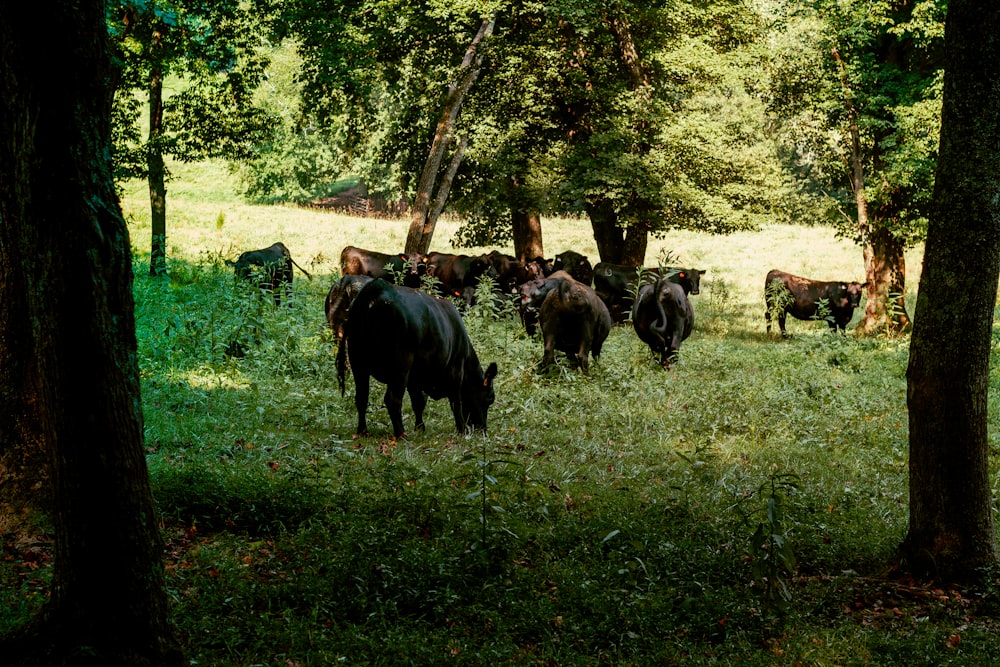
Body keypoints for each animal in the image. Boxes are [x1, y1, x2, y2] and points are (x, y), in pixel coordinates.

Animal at [338, 276, 498, 438]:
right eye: (490, 398)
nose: (482, 429)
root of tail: (377, 287)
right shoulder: (456, 368)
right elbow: (455, 402)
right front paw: (461, 430)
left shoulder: (415, 377)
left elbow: (418, 402)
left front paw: (420, 428)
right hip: (400, 365)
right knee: (392, 399)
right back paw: (400, 433)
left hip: (357, 361)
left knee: (361, 397)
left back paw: (362, 431)